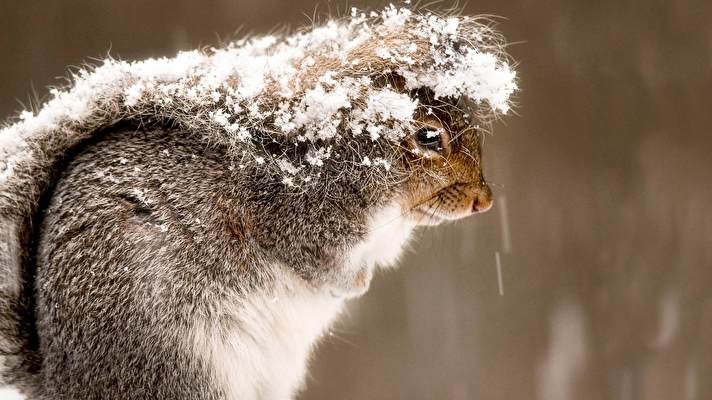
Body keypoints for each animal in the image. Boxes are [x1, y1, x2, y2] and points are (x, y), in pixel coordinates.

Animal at [0, 3, 516, 400]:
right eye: (428, 137)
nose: (485, 201)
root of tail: (63, 381)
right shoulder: (295, 220)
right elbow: (320, 265)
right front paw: (355, 284)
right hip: (178, 366)